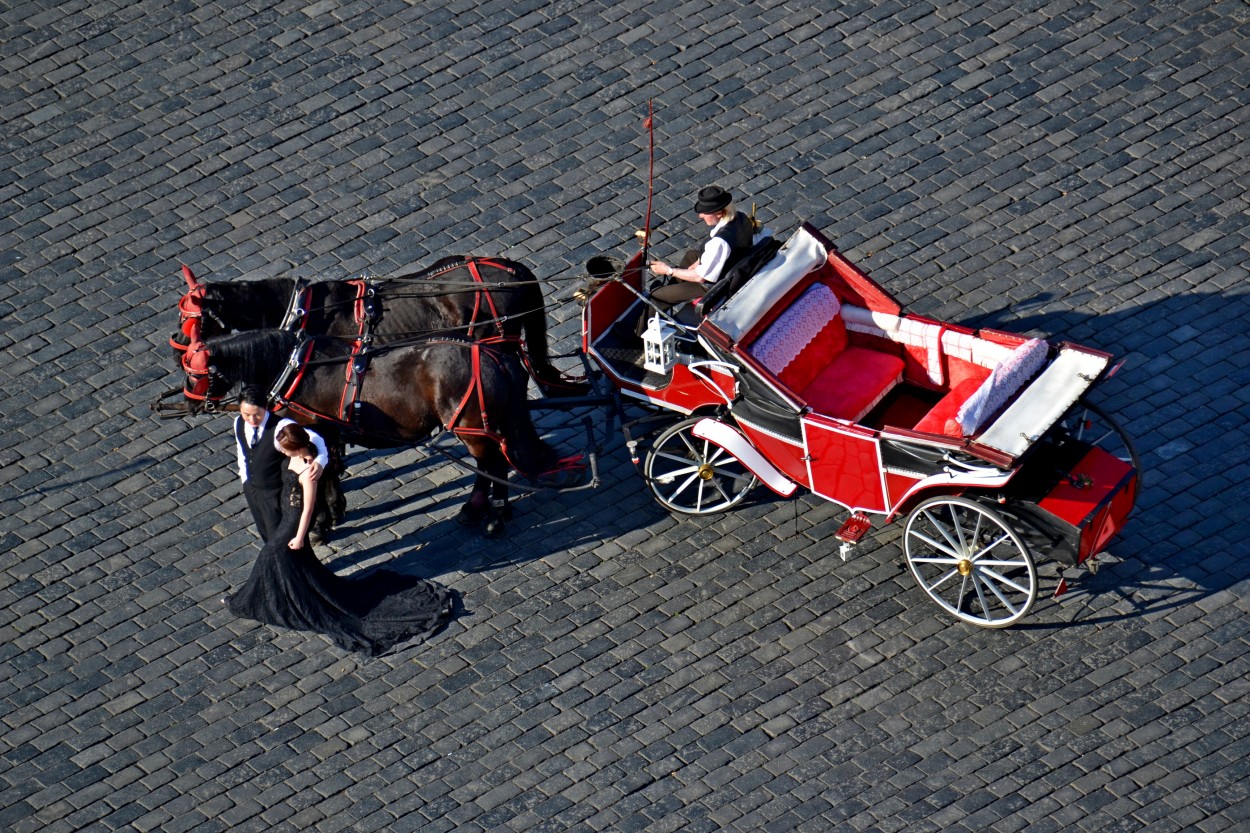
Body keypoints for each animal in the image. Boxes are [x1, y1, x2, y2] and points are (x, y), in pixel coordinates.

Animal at [182, 327, 562, 535]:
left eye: (195, 373)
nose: (189, 403)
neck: (295, 366)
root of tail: (491, 355)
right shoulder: (326, 431)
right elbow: (330, 468)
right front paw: (333, 511)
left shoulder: (311, 427)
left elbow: (321, 471)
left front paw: (320, 523)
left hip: (472, 429)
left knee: (491, 464)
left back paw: (491, 515)